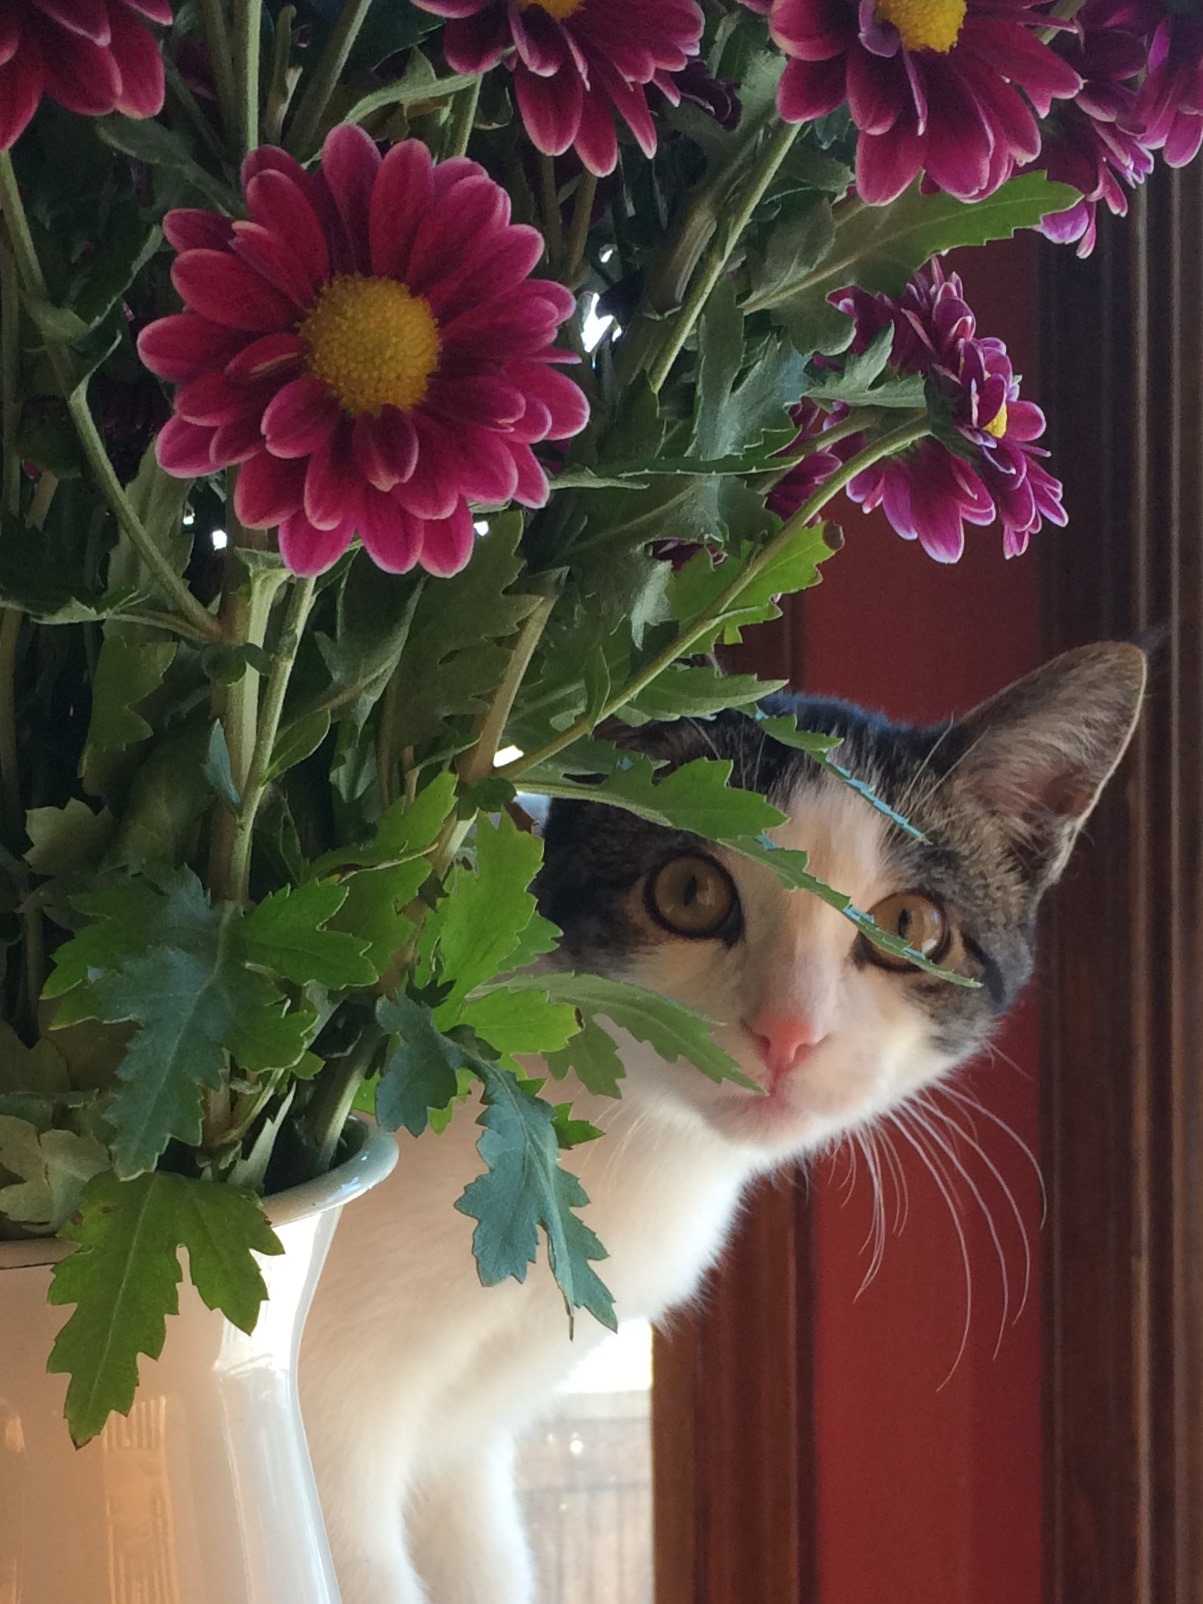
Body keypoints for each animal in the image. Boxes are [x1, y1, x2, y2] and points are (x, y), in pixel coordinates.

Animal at [301, 641, 1148, 1604]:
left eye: (911, 926)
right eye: (689, 890)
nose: (787, 1033)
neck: (632, 1141)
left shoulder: (462, 1449)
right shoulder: (329, 1419)